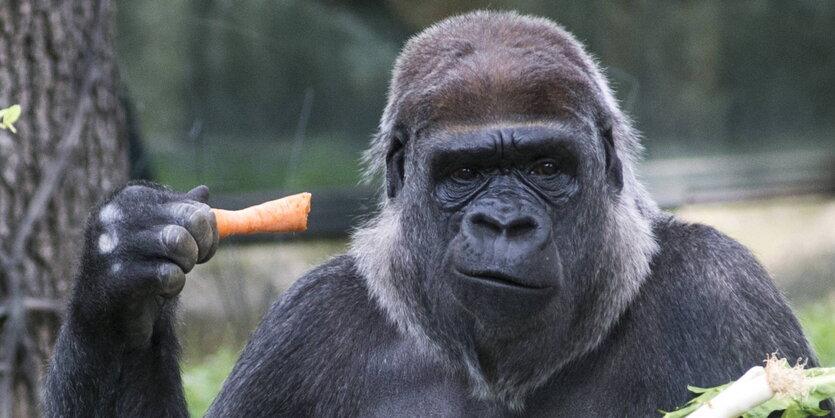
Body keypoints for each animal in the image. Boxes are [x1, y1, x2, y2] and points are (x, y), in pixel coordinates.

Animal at [44, 11, 828, 416]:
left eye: (546, 168)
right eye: (466, 174)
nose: (505, 224)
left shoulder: (726, 293)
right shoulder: (304, 326)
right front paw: (120, 282)